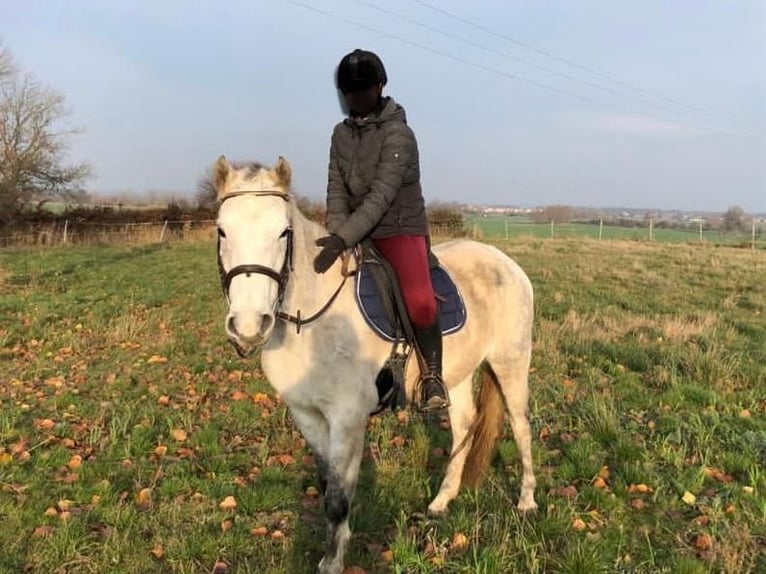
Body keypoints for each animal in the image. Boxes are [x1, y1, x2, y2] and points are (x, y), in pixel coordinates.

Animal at [214, 156, 540, 574]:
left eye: (284, 232)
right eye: (222, 231)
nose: (249, 325)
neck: (310, 318)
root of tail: (505, 262)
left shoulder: (347, 417)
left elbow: (339, 496)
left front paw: (333, 562)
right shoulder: (307, 415)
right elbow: (328, 485)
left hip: (510, 362)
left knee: (521, 426)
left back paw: (527, 502)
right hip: (457, 374)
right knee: (464, 426)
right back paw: (441, 500)